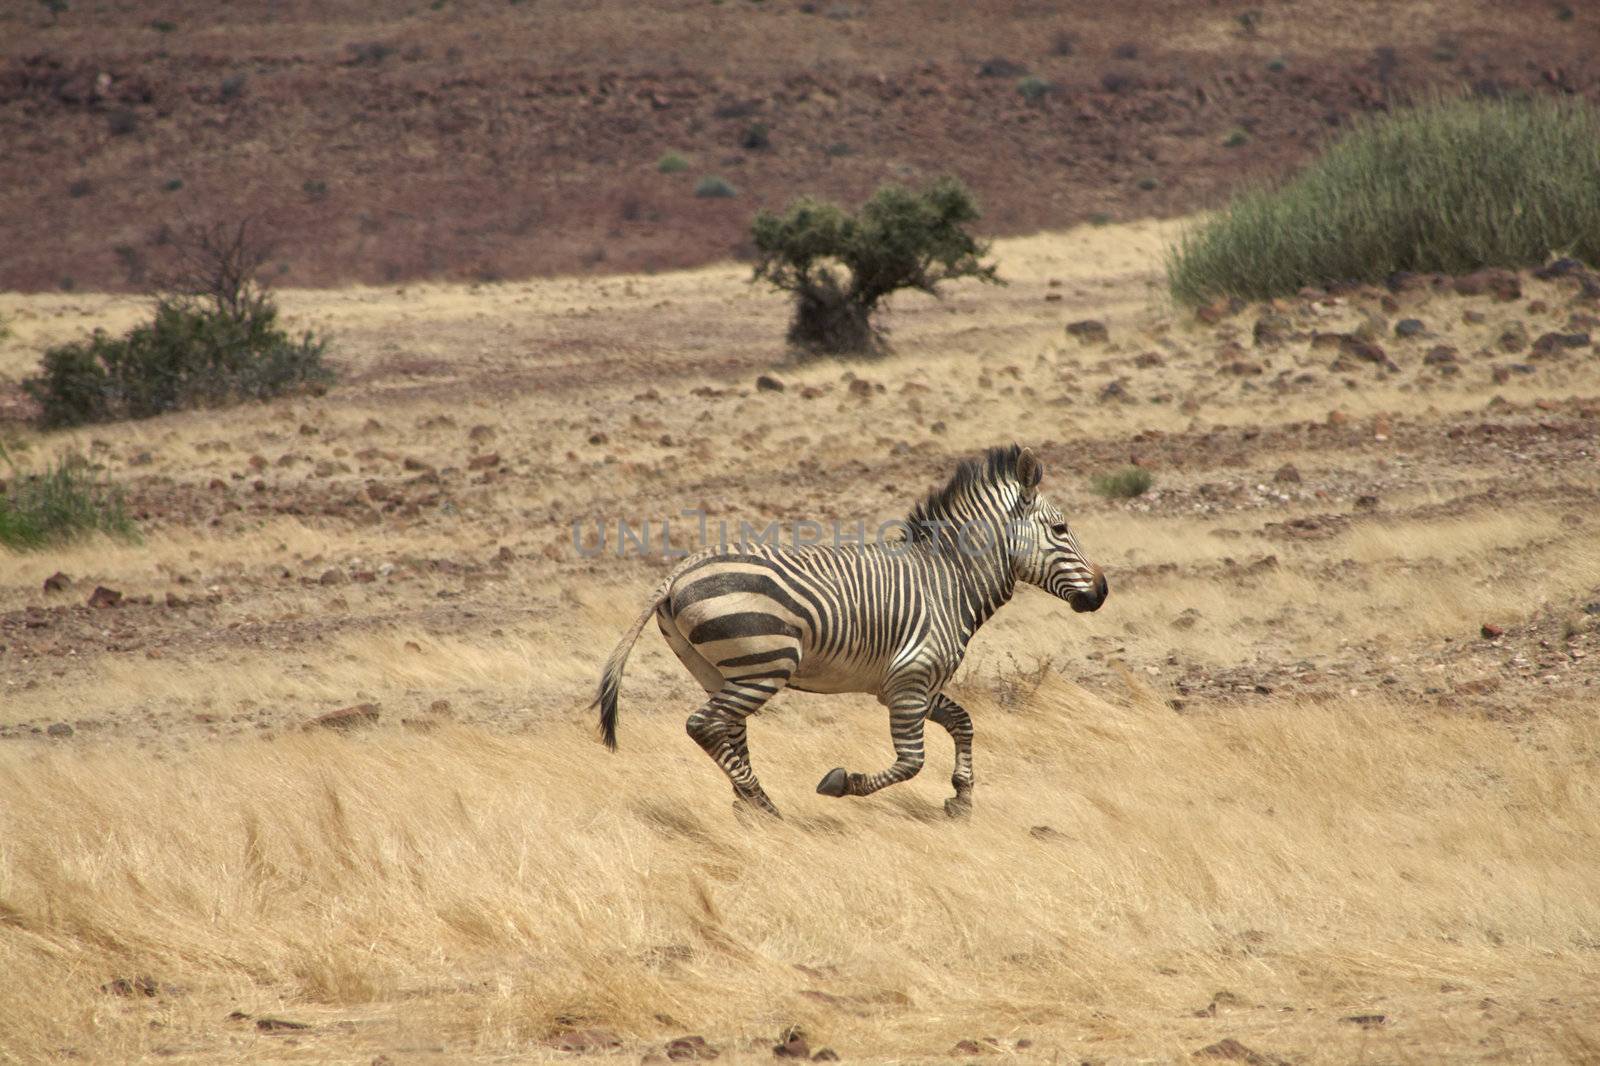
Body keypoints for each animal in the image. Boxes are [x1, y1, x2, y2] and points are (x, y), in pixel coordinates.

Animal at [595, 438, 1107, 813]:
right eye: (1060, 529)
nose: (1101, 591)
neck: (949, 579)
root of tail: (675, 575)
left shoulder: (907, 684)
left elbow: (963, 723)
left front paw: (961, 798)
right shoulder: (911, 679)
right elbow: (911, 762)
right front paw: (841, 782)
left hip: (719, 670)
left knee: (727, 729)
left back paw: (748, 805)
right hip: (765, 662)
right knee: (703, 725)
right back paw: (763, 805)